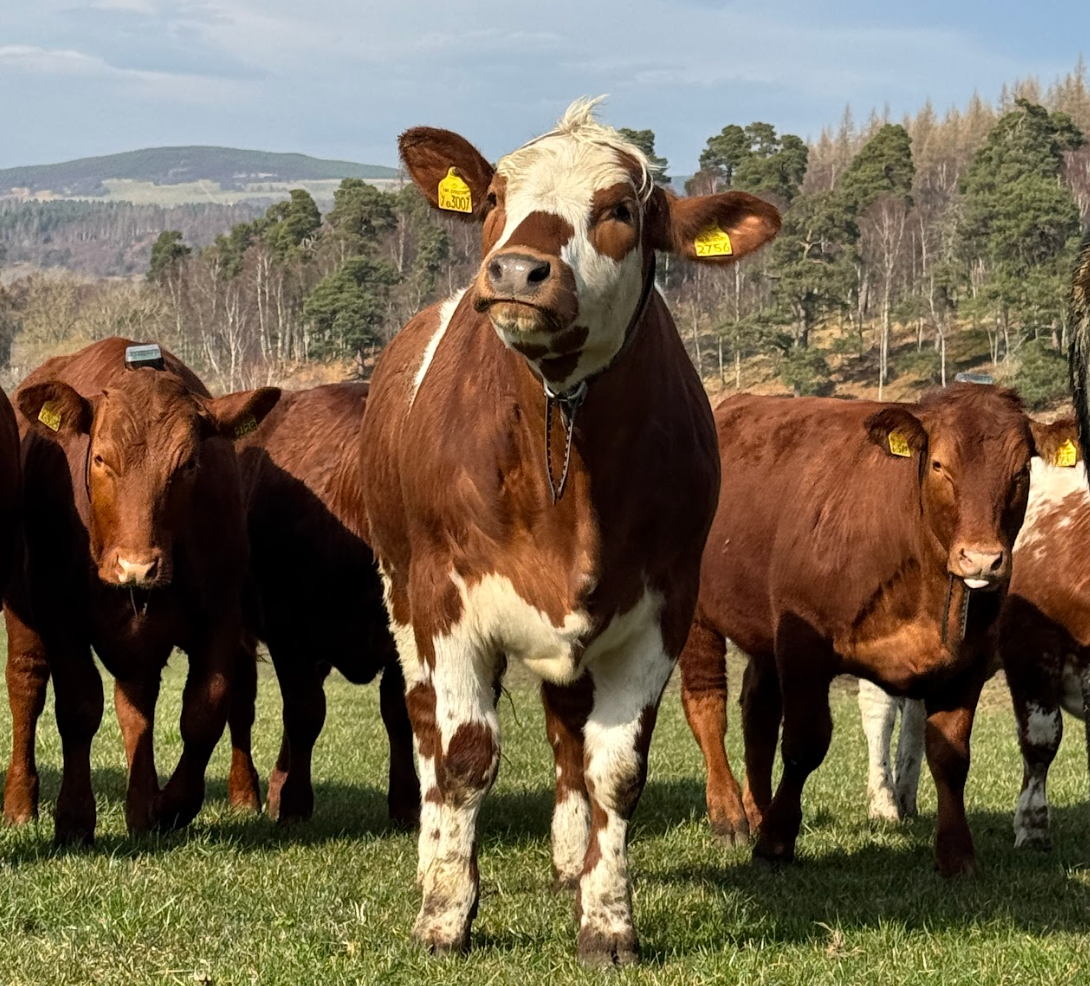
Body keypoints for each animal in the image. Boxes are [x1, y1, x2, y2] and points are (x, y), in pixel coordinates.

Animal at [2, 337, 278, 843]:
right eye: (99, 458)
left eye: (188, 464)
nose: (137, 566)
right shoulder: (59, 615)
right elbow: (78, 707)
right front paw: (74, 817)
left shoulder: (222, 615)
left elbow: (205, 708)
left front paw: (167, 805)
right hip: (21, 608)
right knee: (26, 683)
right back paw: (20, 802)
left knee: (139, 707)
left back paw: (143, 808)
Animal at [229, 382, 418, 827]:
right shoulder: (288, 630)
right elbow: (305, 712)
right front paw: (296, 805)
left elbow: (399, 713)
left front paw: (406, 805)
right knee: (241, 706)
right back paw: (245, 795)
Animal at [357, 98, 780, 965]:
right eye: (492, 199)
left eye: (618, 211)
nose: (518, 272)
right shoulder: (446, 602)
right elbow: (463, 757)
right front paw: (446, 912)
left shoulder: (659, 610)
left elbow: (611, 769)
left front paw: (607, 917)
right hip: (400, 592)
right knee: (424, 726)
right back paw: (434, 856)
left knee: (564, 735)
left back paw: (565, 857)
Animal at [679, 384, 1041, 877]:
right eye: (939, 464)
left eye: (1022, 470)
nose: (982, 559)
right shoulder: (803, 644)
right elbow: (805, 742)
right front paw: (776, 843)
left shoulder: (969, 662)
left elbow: (951, 756)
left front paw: (957, 854)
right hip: (698, 617)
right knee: (707, 707)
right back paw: (729, 816)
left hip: (763, 635)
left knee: (758, 711)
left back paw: (757, 810)